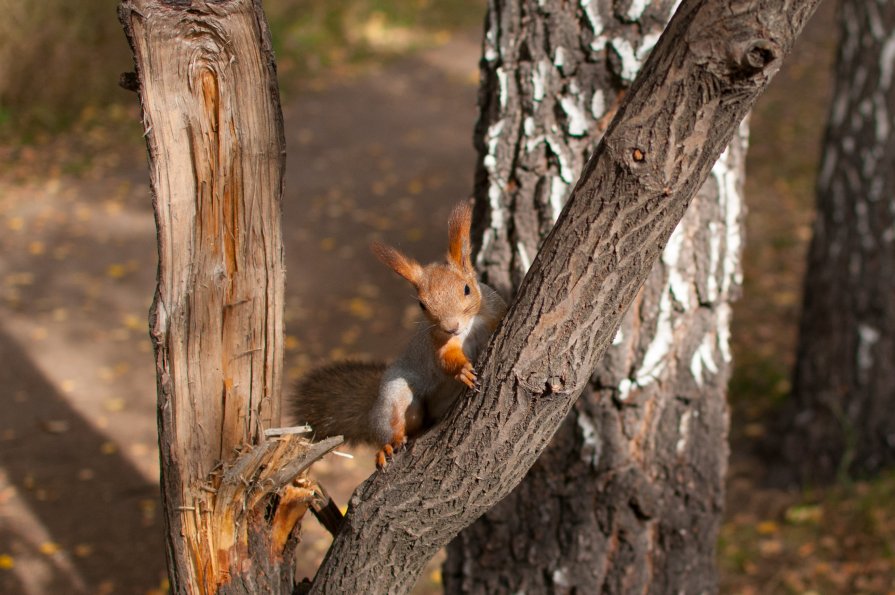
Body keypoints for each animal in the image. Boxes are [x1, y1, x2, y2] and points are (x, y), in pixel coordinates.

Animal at [290, 203, 508, 468]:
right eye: (422, 305)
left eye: (466, 289)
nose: (451, 327)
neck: (470, 327)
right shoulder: (438, 340)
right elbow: (445, 359)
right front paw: (462, 371)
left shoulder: (494, 311)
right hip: (395, 398)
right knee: (395, 428)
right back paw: (387, 445)